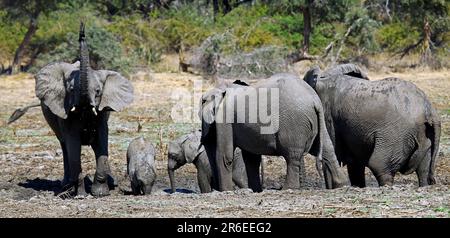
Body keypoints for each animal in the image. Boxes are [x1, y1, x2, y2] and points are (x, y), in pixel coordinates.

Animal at [304, 64, 442, 187]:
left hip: (396, 135)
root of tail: (429, 110)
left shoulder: (329, 116)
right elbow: (355, 164)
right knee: (423, 170)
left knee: (380, 166)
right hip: (424, 134)